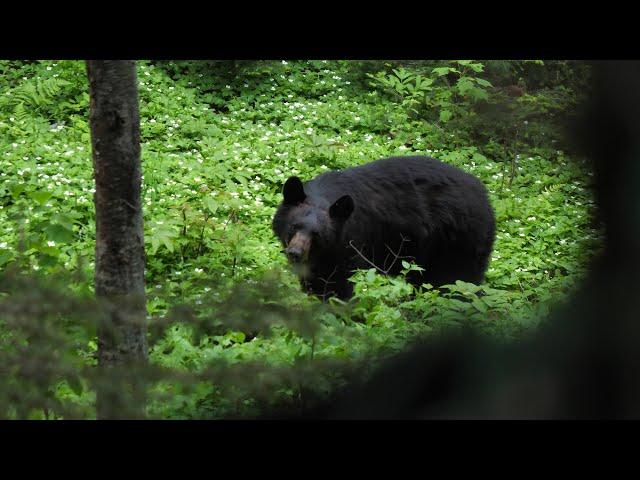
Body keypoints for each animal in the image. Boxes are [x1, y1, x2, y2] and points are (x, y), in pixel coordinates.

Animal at [272, 158, 498, 300]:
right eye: (294, 226)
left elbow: (336, 282)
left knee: (457, 281)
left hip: (458, 240)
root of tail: (486, 198)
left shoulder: (350, 243)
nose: (295, 253)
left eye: (318, 235)